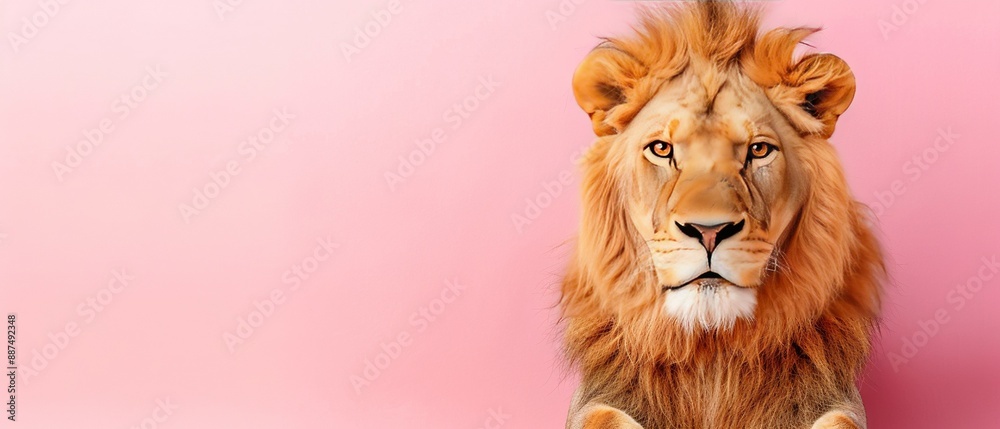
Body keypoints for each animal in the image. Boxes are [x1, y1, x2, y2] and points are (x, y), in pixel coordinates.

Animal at [560, 2, 883, 428]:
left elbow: (840, 422)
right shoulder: (595, 396)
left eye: (759, 150)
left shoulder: (837, 397)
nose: (708, 231)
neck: (712, 352)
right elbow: (604, 418)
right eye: (662, 149)